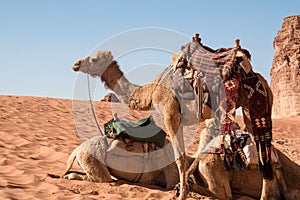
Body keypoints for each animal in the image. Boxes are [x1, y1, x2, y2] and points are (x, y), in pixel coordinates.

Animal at [71, 35, 274, 199]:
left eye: (94, 59)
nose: (76, 64)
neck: (152, 90)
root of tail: (255, 75)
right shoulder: (179, 119)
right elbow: (182, 155)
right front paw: (183, 190)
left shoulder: (169, 113)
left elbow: (179, 158)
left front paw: (182, 194)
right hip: (253, 107)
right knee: (263, 154)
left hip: (254, 103)